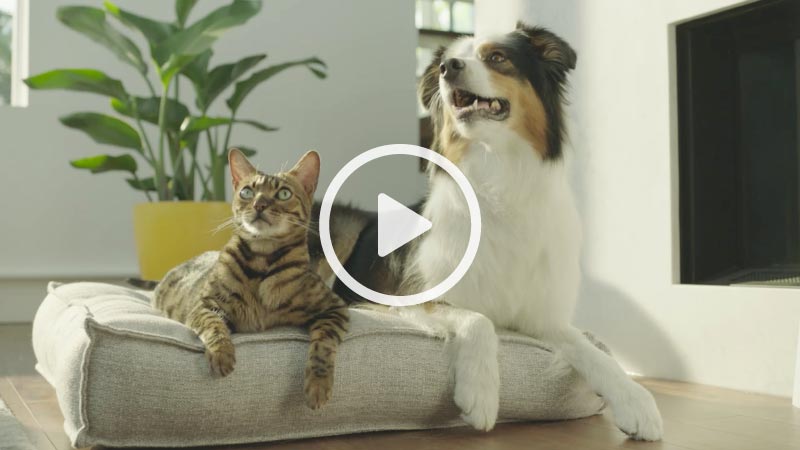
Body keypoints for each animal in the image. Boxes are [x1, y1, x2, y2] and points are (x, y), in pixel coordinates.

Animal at [152, 149, 348, 410]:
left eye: (284, 193)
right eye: (247, 192)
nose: (259, 204)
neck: (262, 261)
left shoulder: (334, 308)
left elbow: (323, 344)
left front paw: (318, 385)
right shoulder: (204, 305)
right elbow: (213, 324)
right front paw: (221, 354)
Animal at [310, 21, 664, 440]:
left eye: (497, 57)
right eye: (447, 61)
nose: (447, 68)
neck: (497, 172)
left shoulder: (542, 318)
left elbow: (592, 349)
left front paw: (636, 400)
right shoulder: (408, 296)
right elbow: (479, 321)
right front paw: (479, 393)